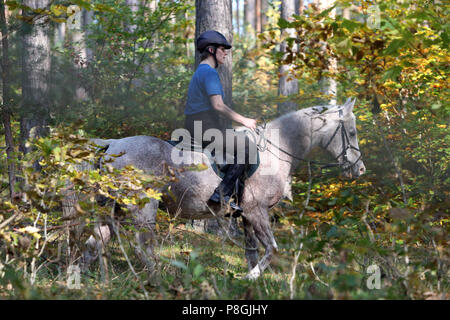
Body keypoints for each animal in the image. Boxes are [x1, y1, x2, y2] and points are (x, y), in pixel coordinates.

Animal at [77, 97, 366, 280]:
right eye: (351, 132)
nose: (360, 169)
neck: (277, 149)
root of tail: (113, 145)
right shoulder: (256, 211)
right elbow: (272, 249)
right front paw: (250, 278)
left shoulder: (247, 217)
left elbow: (252, 252)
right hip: (142, 208)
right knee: (142, 248)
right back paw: (159, 280)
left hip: (115, 208)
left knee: (96, 242)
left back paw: (83, 279)